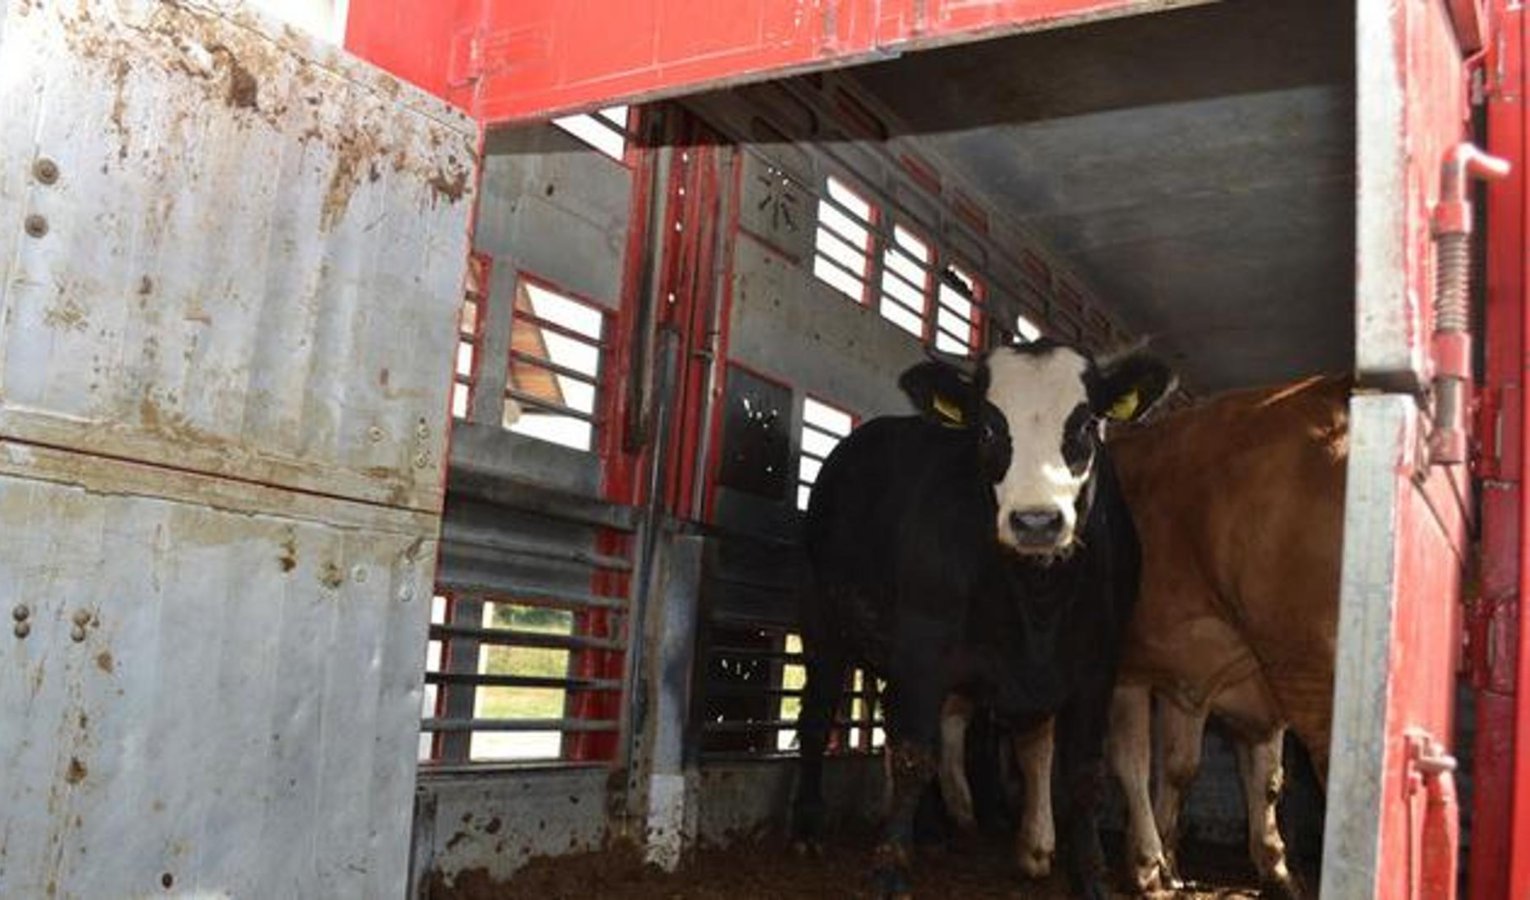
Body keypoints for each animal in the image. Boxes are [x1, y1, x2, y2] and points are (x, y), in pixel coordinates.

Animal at [789, 341, 1168, 893]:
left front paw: (1092, 877)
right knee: (818, 718)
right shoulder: (923, 648)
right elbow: (912, 754)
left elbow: (1084, 775)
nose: (1036, 521)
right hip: (823, 622)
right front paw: (890, 868)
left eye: (1084, 426)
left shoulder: (1099, 665)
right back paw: (806, 828)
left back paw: (930, 832)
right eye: (988, 428)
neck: (1037, 596)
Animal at [936, 371, 1346, 893]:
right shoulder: (1133, 671)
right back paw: (998, 825)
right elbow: (1132, 761)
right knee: (994, 727)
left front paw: (1264, 864)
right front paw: (1147, 860)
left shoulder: (1208, 682)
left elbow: (1211, 771)